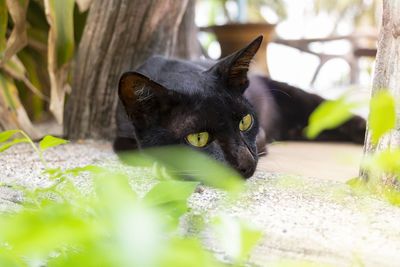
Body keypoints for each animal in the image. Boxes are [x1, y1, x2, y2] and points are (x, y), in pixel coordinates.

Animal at [113, 35, 366, 178]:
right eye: (198, 138)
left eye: (245, 122)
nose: (246, 165)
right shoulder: (121, 137)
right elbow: (133, 151)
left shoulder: (261, 135)